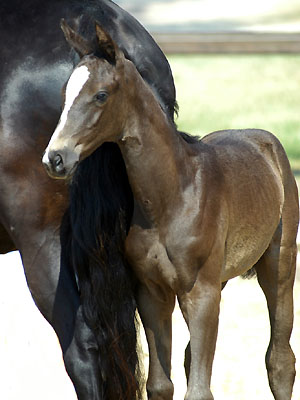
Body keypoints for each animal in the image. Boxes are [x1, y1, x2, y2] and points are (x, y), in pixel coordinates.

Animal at [42, 21, 298, 400]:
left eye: (101, 95)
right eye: (64, 93)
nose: (55, 158)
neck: (171, 198)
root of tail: (265, 140)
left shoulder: (201, 293)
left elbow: (199, 389)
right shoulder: (152, 293)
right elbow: (161, 384)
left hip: (278, 263)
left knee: (280, 361)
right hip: (220, 280)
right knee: (194, 357)